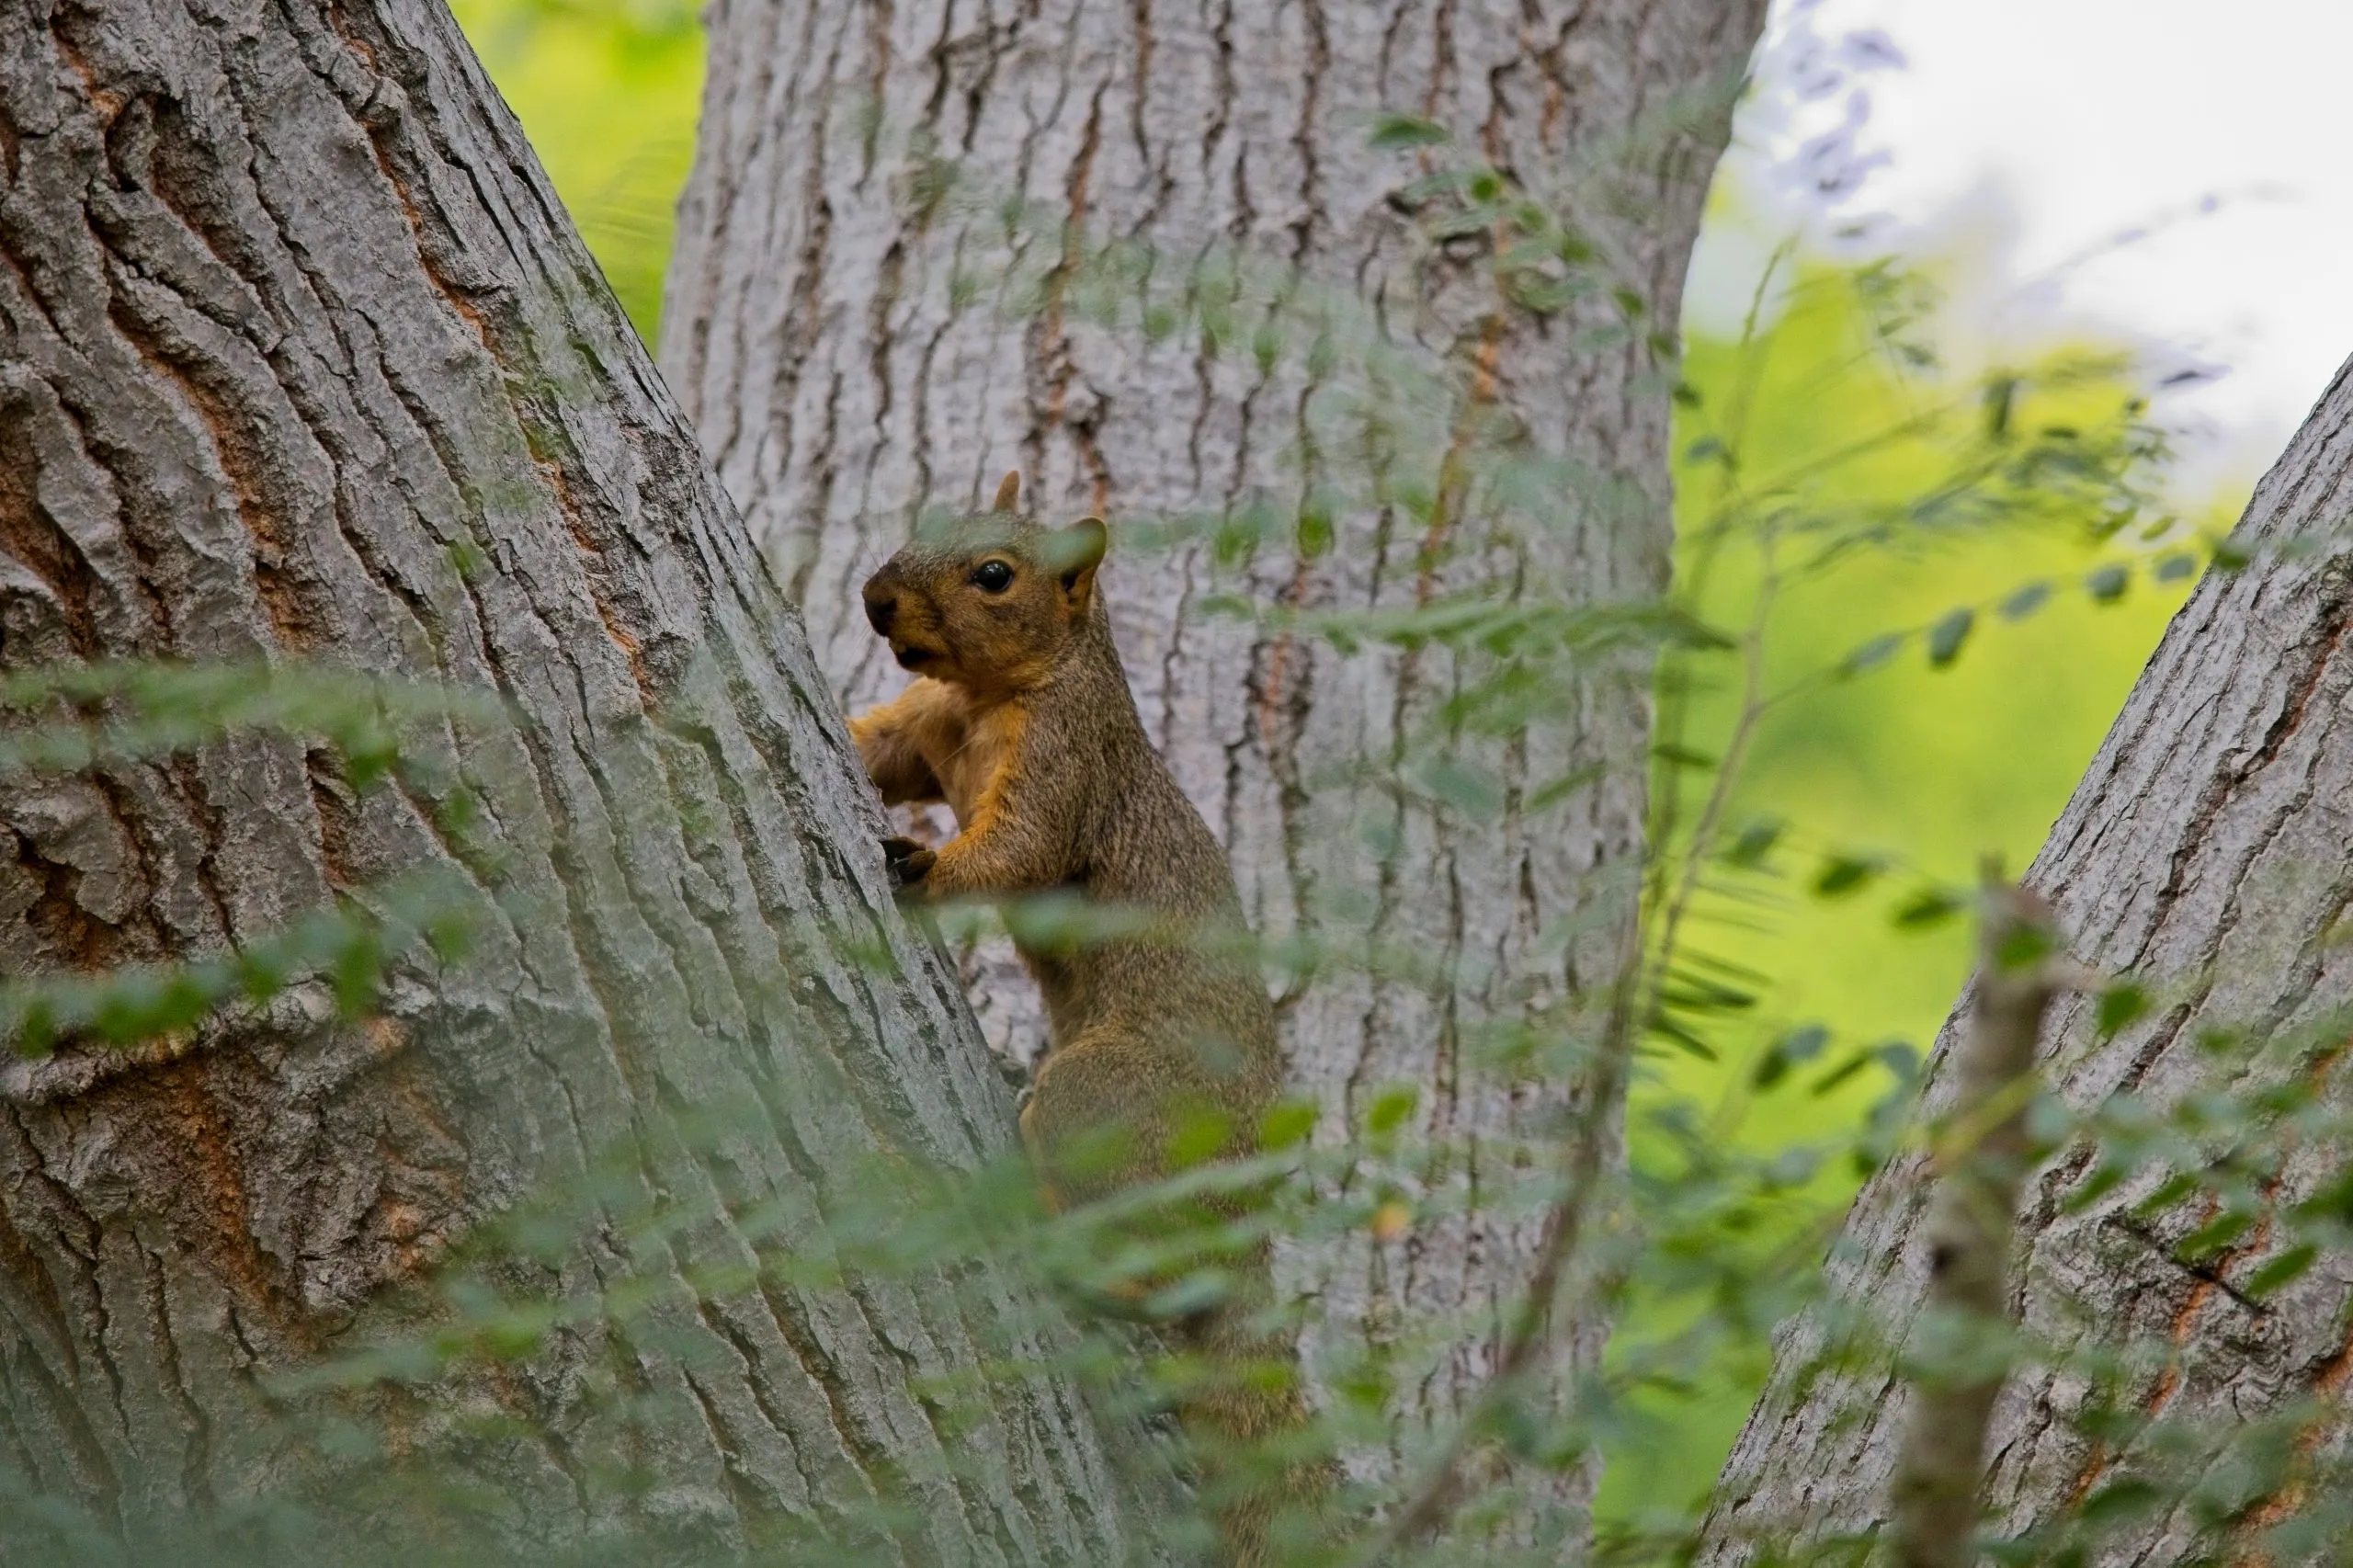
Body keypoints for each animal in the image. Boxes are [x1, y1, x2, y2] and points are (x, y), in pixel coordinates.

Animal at [847, 472, 1331, 1566]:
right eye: (928, 518)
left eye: (995, 575)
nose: (876, 598)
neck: (987, 695)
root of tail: (1240, 1217)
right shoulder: (921, 731)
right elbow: (872, 746)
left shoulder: (1066, 759)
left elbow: (1018, 850)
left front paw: (922, 868)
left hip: (1108, 1097)